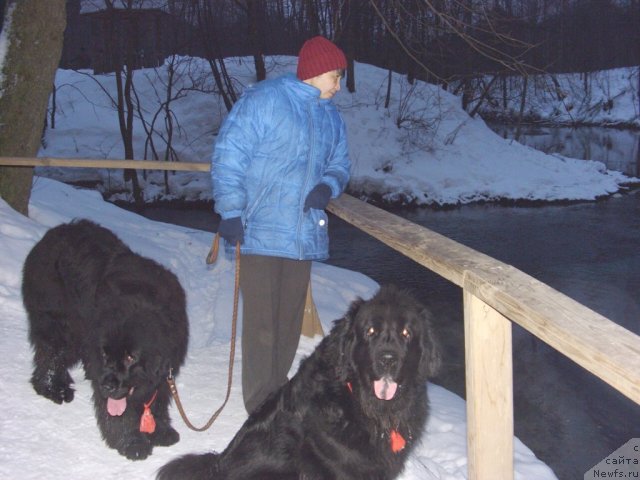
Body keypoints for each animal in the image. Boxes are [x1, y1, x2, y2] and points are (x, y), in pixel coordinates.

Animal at [22, 219, 188, 460]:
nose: (107, 386)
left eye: (130, 357)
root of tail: (50, 234)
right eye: (105, 354)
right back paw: (53, 388)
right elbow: (119, 412)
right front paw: (132, 443)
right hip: (60, 323)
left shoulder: (166, 369)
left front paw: (161, 431)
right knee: (51, 354)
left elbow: (157, 399)